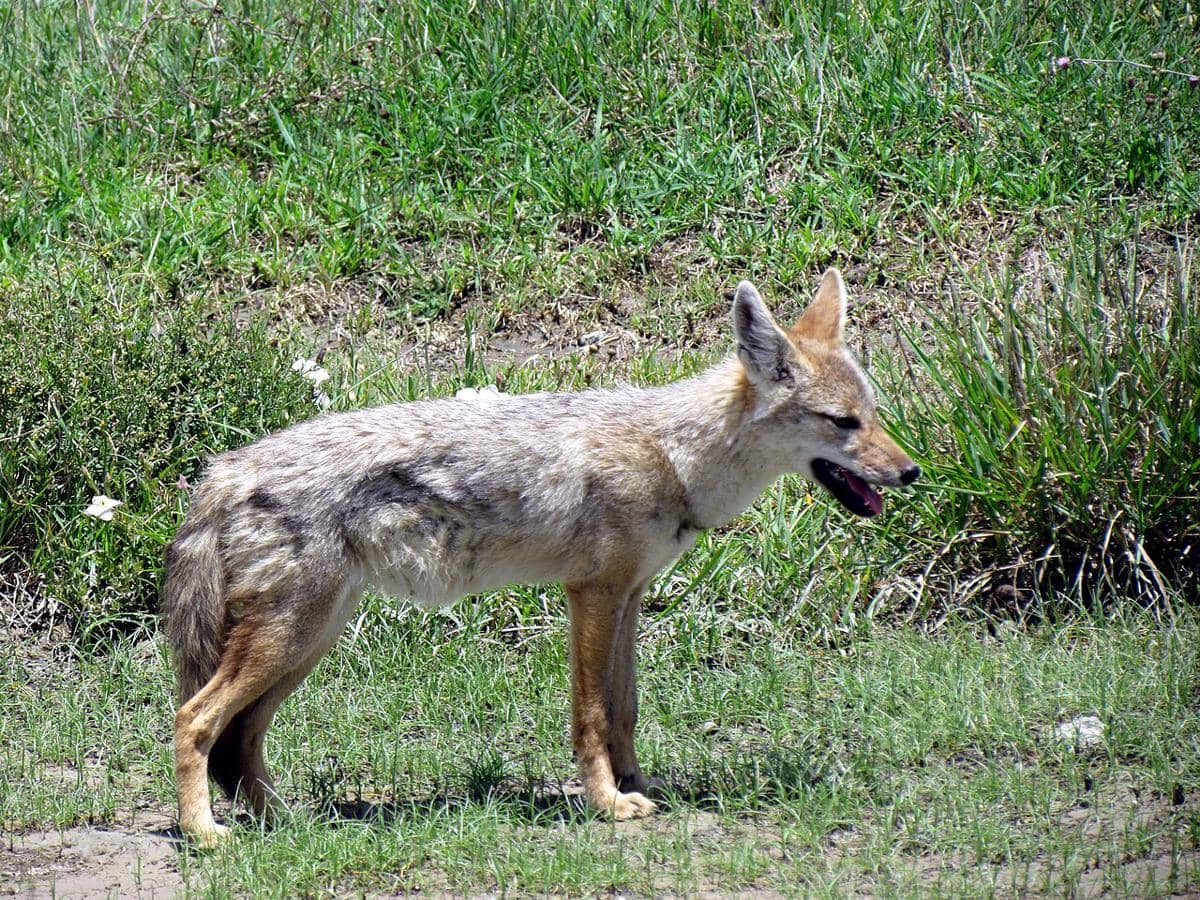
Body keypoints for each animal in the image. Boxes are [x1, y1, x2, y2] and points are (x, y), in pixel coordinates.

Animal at [161, 269, 920, 846]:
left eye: (875, 414)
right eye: (843, 423)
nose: (912, 473)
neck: (673, 455)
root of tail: (224, 469)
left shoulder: (628, 598)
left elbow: (625, 709)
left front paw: (637, 786)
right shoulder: (591, 595)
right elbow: (591, 714)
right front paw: (607, 804)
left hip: (305, 645)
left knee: (241, 738)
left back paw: (285, 822)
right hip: (288, 642)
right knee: (194, 720)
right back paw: (205, 834)